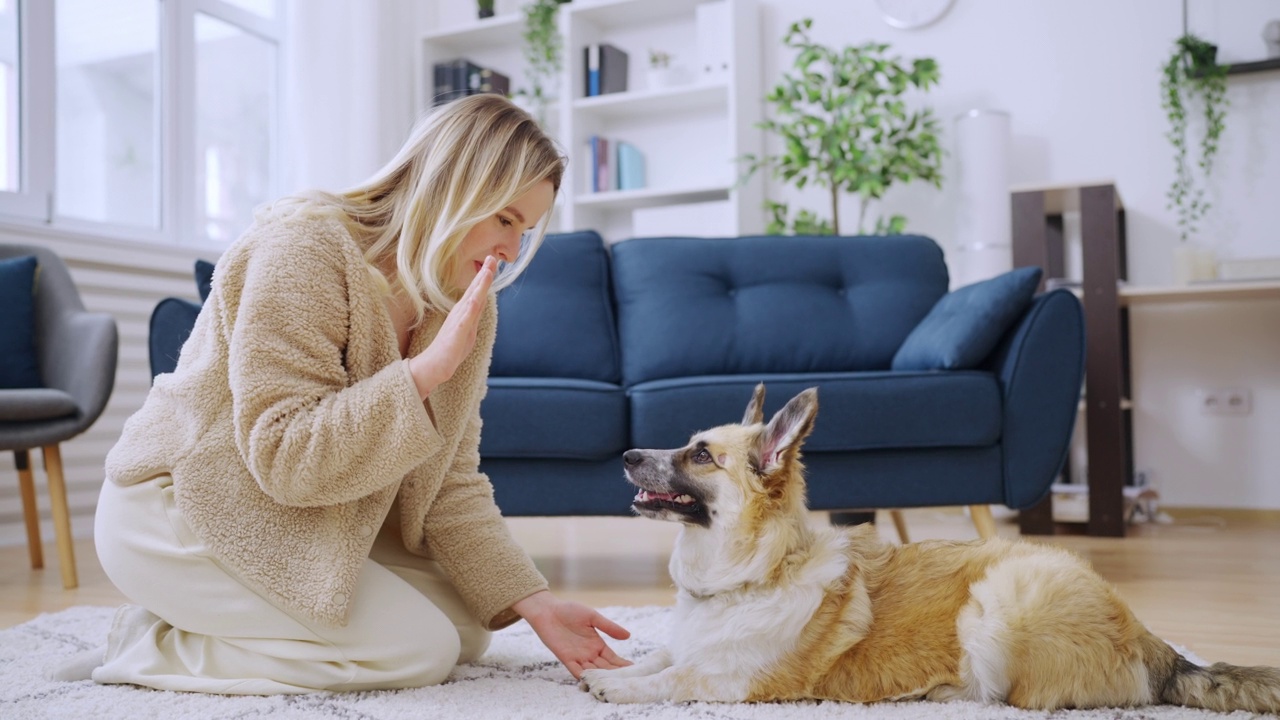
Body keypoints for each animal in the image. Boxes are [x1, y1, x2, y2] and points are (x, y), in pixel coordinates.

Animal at [581, 384, 1280, 707]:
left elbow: (678, 676)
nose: (628, 455)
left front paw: (621, 690)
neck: (753, 572)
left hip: (995, 602)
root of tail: (1147, 636)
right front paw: (607, 671)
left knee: (1015, 698)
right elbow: (657, 655)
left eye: (700, 456)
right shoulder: (687, 644)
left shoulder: (740, 681)